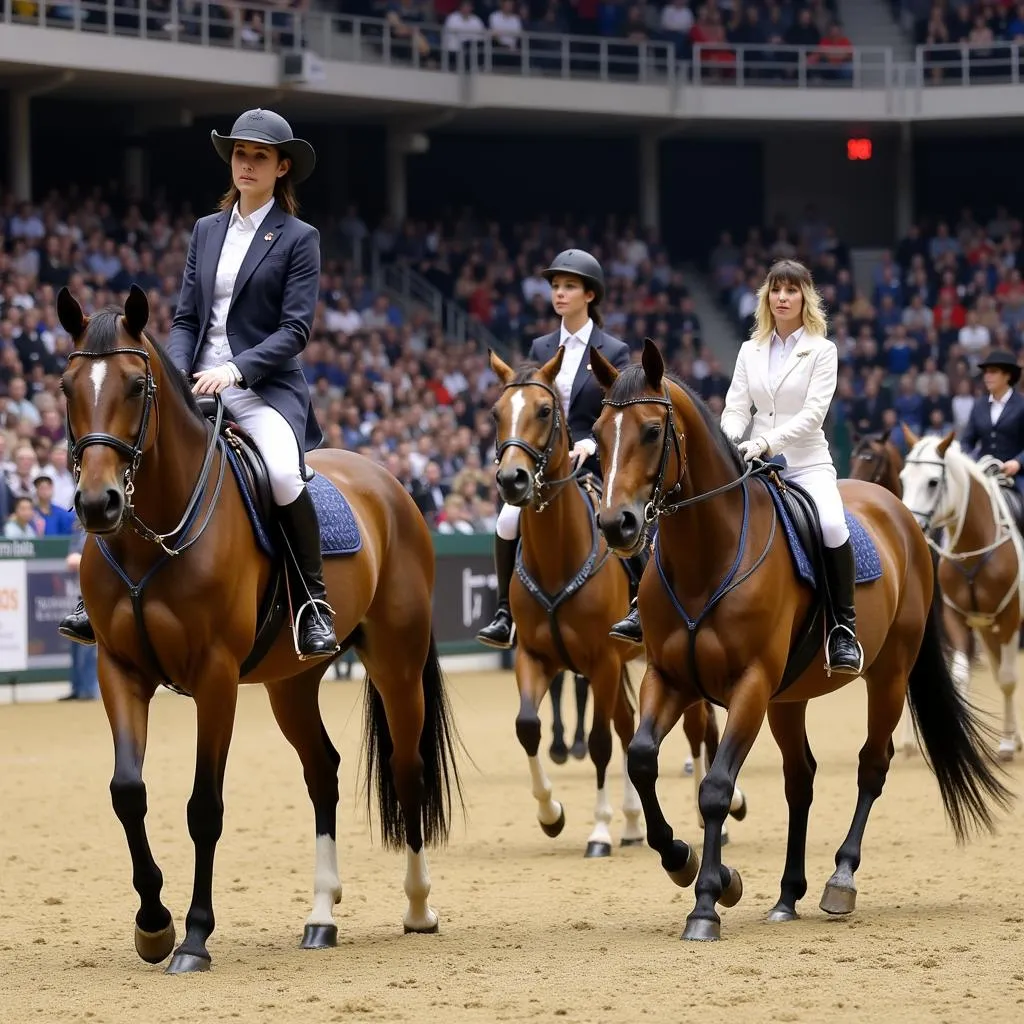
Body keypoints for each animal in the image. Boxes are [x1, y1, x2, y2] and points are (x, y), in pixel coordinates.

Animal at [58, 284, 466, 970]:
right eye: (65, 387)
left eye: (137, 387)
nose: (97, 504)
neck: (151, 537)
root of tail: (392, 485)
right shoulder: (119, 668)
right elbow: (127, 791)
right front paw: (153, 924)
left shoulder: (215, 677)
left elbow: (204, 807)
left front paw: (194, 937)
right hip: (291, 684)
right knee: (322, 771)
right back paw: (321, 916)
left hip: (397, 664)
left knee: (407, 769)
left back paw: (417, 907)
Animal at [487, 348, 745, 860]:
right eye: (496, 413)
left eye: (543, 411)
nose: (512, 479)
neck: (557, 557)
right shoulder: (534, 657)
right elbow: (528, 726)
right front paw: (551, 813)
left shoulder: (603, 663)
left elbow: (601, 742)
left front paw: (599, 831)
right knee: (633, 728)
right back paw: (632, 822)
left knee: (697, 730)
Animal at [901, 423, 1019, 761]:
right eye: (903, 478)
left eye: (932, 482)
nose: (909, 525)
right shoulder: (955, 617)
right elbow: (961, 676)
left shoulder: (1009, 617)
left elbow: (1007, 679)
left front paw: (1007, 744)